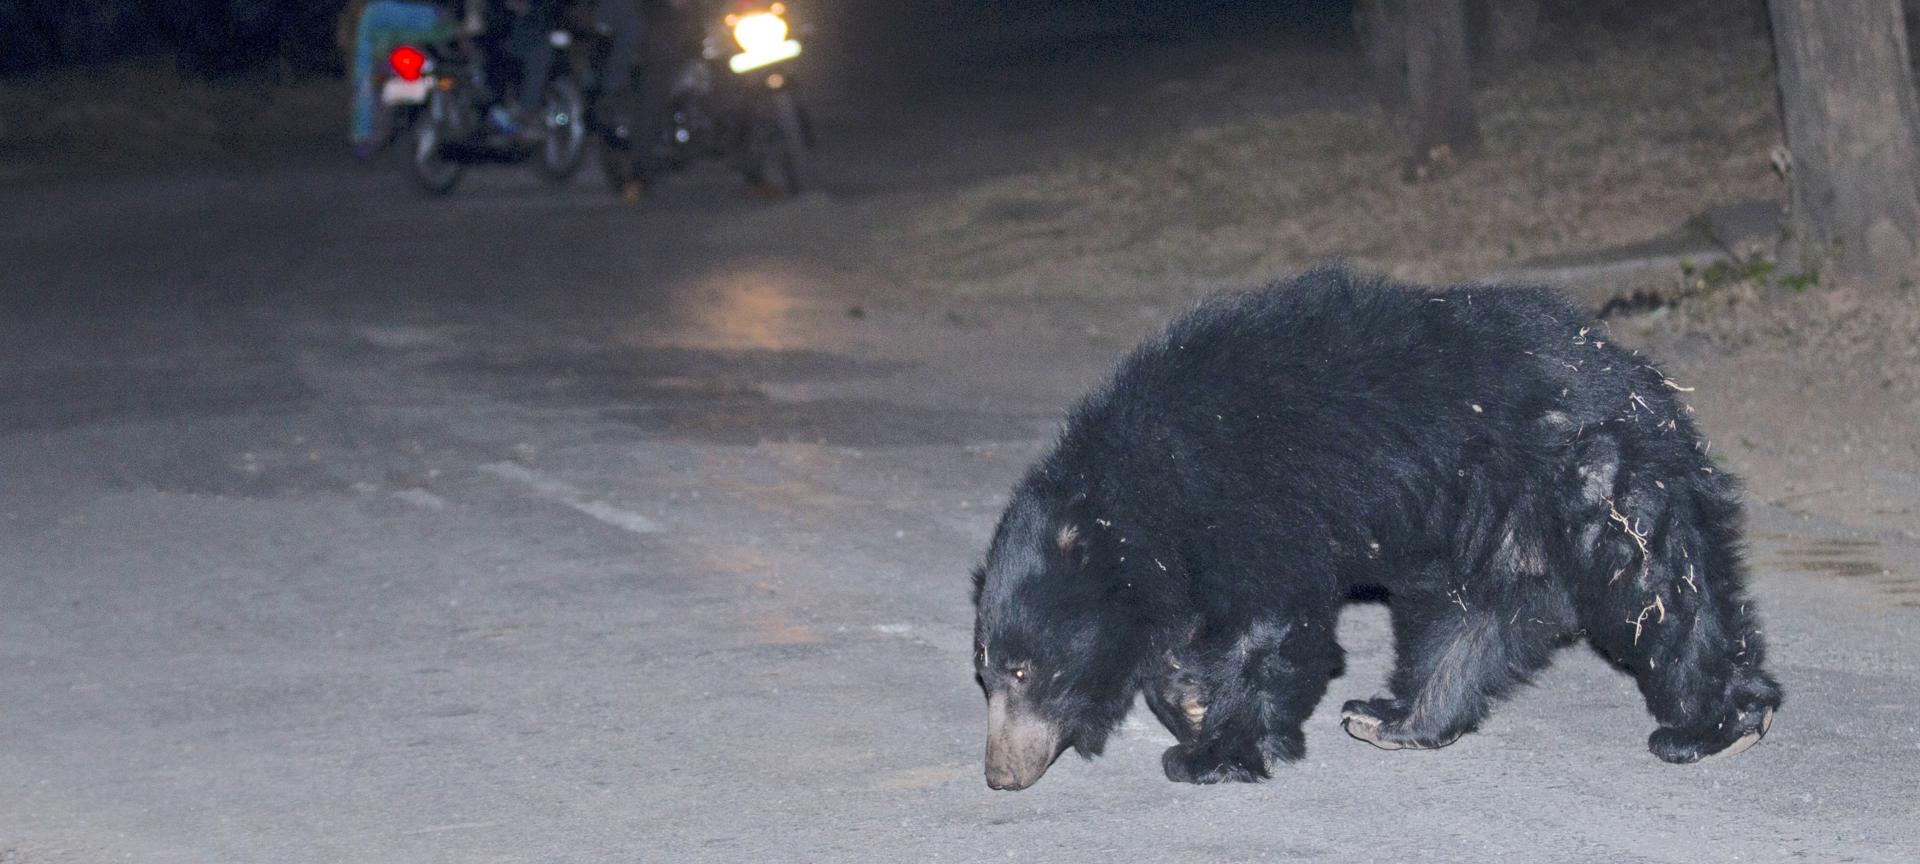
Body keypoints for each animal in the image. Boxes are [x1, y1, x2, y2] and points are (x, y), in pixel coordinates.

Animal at [971, 267, 1780, 790]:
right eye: (986, 672)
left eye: (1025, 671)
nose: (1002, 773)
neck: (1133, 491)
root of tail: (1647, 382)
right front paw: (1189, 705)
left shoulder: (1252, 502)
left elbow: (1270, 627)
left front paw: (1209, 754)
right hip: (1493, 531)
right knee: (1465, 623)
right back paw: (1396, 718)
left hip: (1598, 482)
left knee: (1658, 591)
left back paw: (1711, 729)